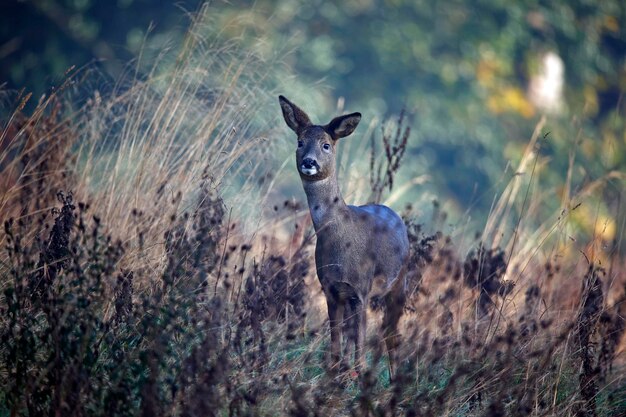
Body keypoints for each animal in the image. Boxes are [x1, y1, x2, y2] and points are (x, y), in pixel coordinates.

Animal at [276, 96, 408, 376]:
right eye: (300, 142)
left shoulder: (361, 289)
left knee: (390, 334)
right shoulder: (330, 288)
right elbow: (337, 339)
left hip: (399, 282)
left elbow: (360, 341)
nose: (309, 162)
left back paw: (393, 378)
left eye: (326, 145)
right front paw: (336, 372)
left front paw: (359, 375)